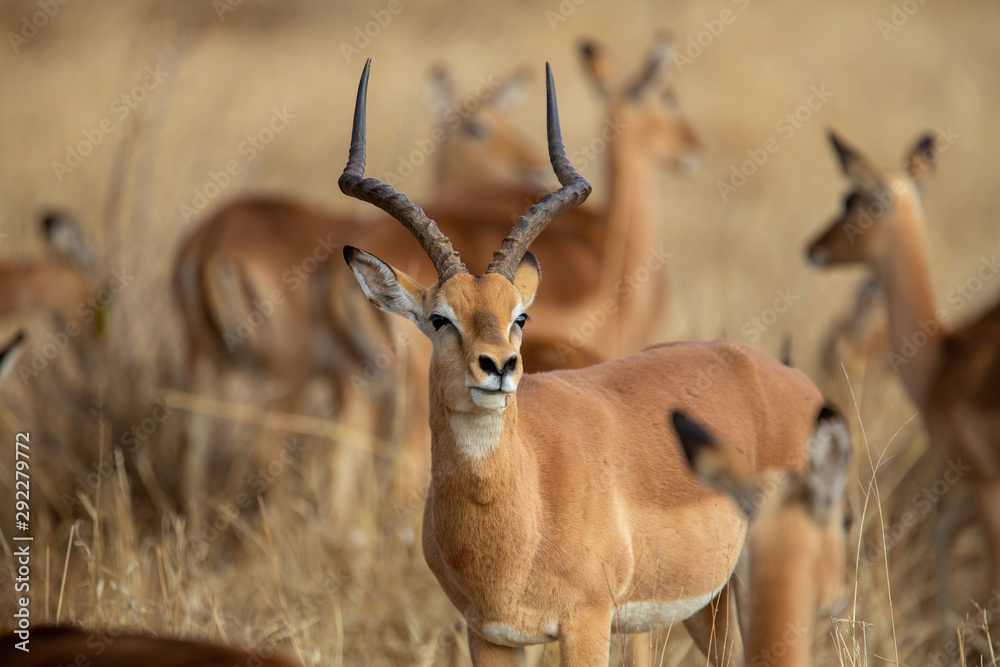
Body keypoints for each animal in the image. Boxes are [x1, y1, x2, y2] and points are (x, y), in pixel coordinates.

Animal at [339, 59, 824, 666]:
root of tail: (788, 377)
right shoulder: (489, 634)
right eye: (439, 318)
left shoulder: (587, 623)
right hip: (711, 603)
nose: (498, 367)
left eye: (520, 315)